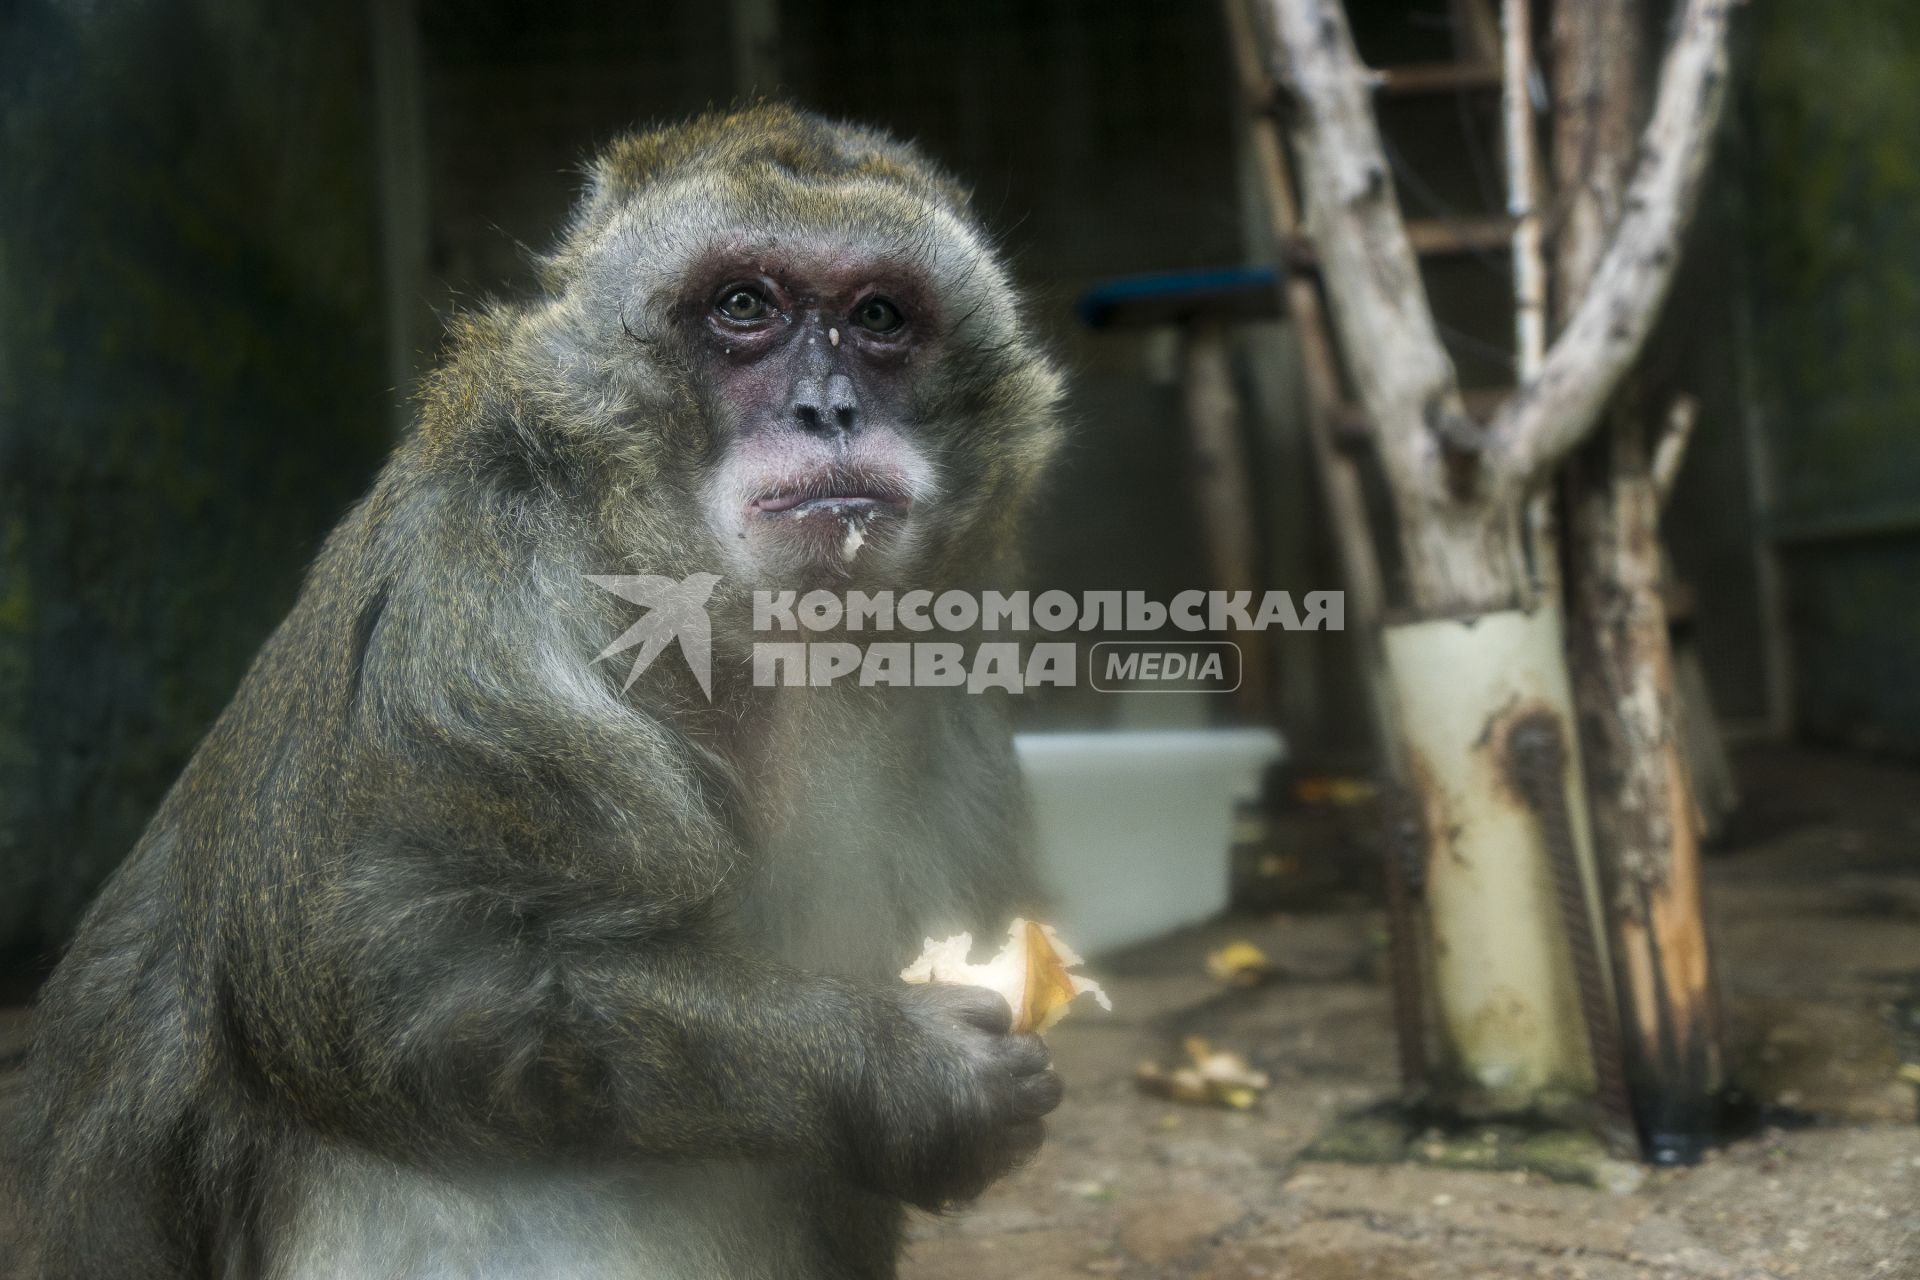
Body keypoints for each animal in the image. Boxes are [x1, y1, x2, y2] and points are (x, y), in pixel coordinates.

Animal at [3, 107, 1067, 1280]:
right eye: (744, 305)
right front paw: (898, 1069)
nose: (826, 406)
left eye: (879, 317)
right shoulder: (478, 614)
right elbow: (400, 981)